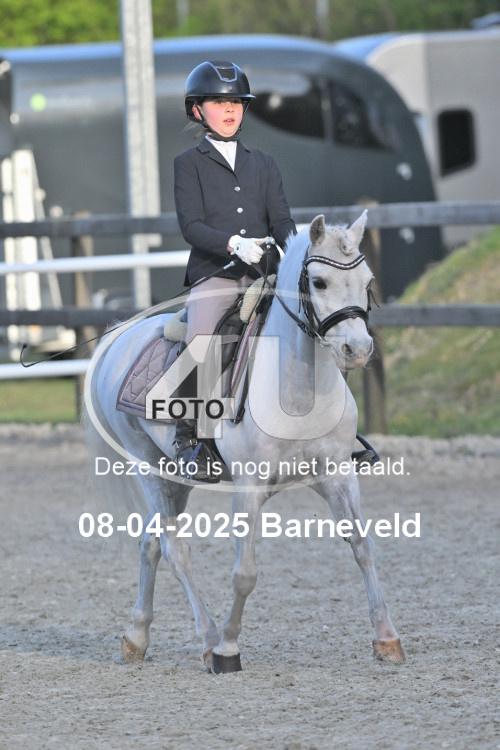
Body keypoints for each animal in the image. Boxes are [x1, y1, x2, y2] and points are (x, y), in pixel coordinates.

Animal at [83, 211, 406, 672]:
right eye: (320, 282)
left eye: (367, 280)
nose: (358, 349)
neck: (298, 387)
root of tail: (120, 338)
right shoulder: (249, 488)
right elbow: (245, 572)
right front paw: (228, 650)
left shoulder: (338, 475)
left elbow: (363, 546)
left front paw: (386, 638)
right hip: (149, 469)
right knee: (174, 549)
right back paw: (208, 640)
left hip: (175, 479)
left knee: (150, 543)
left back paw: (136, 637)